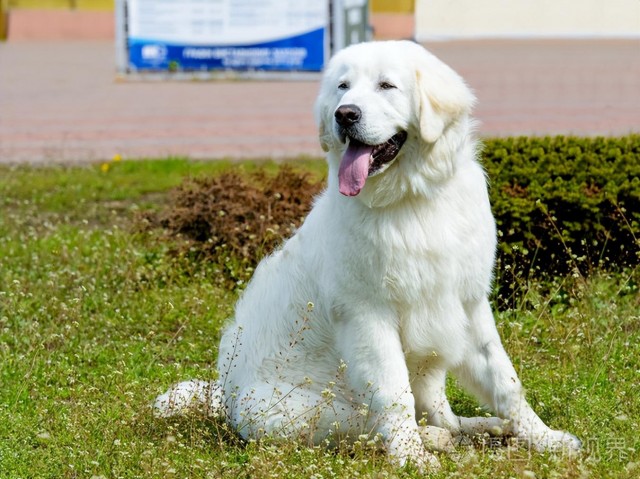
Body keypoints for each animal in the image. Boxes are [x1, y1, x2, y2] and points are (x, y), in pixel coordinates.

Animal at [154, 40, 580, 468]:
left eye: (386, 86)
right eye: (343, 87)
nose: (345, 114)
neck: (412, 199)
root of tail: (224, 397)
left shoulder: (468, 306)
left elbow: (506, 381)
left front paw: (546, 438)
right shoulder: (369, 318)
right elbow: (393, 396)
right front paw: (412, 457)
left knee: (441, 413)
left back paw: (485, 427)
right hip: (308, 409)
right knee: (369, 427)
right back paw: (435, 439)